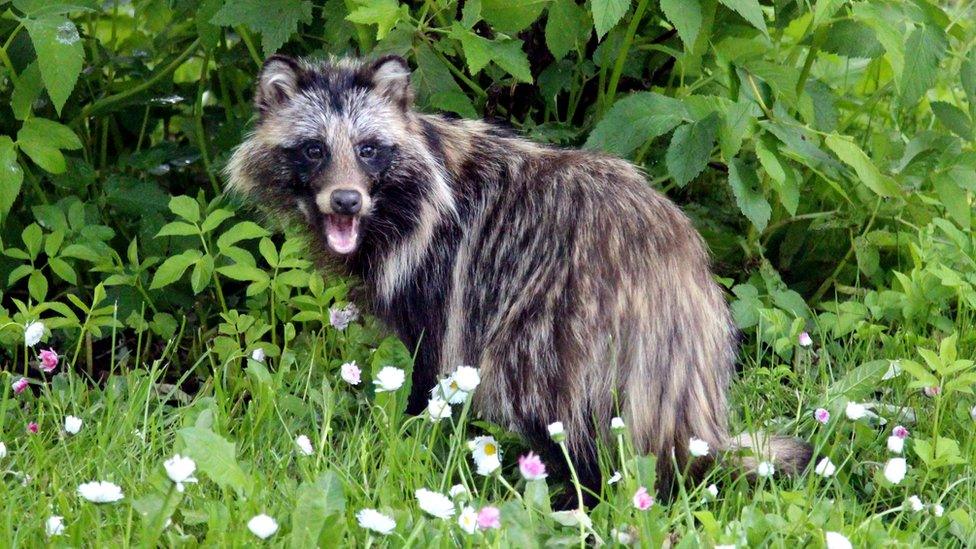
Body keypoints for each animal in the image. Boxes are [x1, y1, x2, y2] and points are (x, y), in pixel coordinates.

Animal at [225, 54, 812, 492]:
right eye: (314, 149)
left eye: (368, 149)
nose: (345, 201)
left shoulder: (443, 270)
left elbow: (430, 363)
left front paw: (415, 430)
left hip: (563, 317)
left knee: (542, 396)